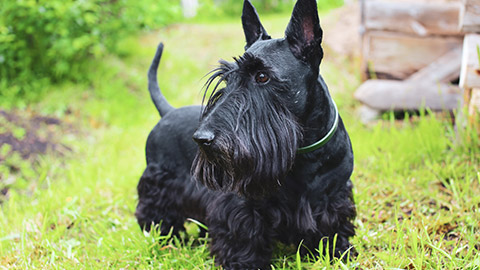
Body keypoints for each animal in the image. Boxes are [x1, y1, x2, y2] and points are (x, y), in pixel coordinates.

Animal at [137, 0, 354, 266]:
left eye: (262, 76)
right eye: (227, 80)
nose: (202, 138)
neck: (303, 153)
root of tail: (166, 112)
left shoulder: (333, 195)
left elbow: (333, 226)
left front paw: (338, 252)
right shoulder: (240, 204)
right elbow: (243, 235)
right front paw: (244, 263)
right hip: (158, 184)